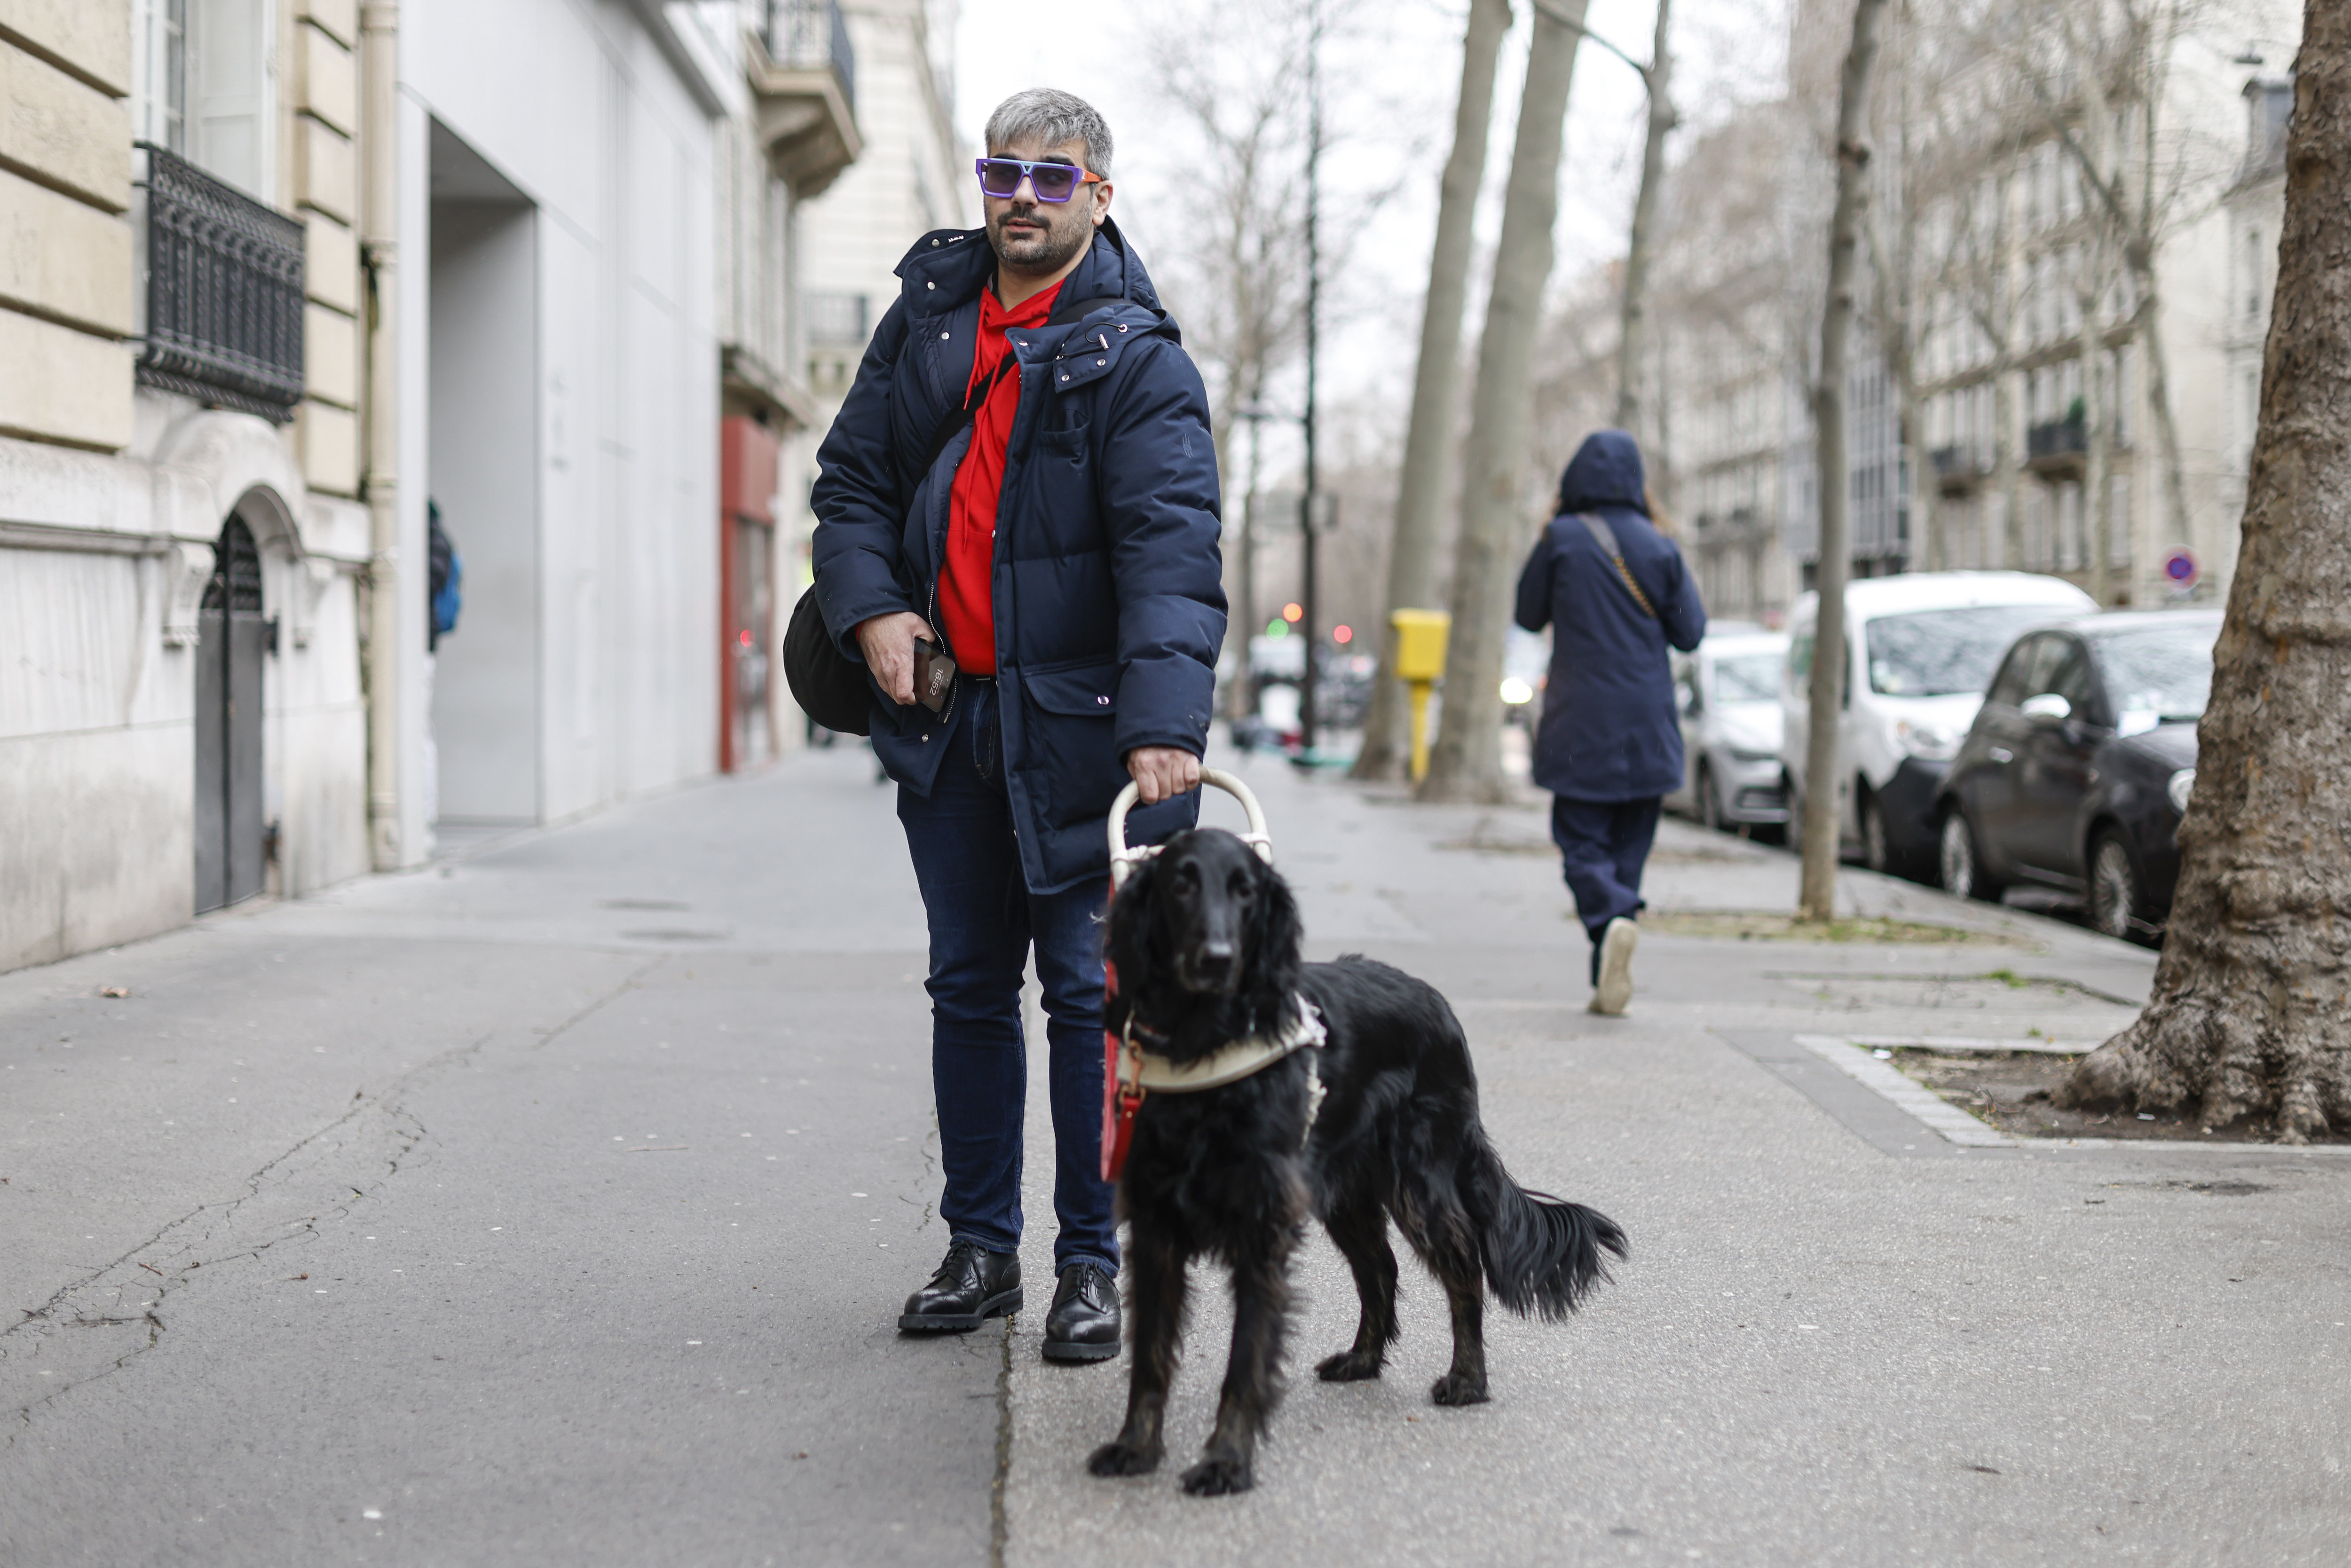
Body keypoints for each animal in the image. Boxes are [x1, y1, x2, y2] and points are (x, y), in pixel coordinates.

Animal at [1086, 823, 1627, 1495]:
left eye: (1245, 890)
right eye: (1179, 883)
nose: (1216, 957)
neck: (1204, 1044)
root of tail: (1440, 1006)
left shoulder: (1261, 1227)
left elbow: (1244, 1360)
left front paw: (1225, 1462)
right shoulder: (1157, 1226)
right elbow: (1149, 1355)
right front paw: (1135, 1446)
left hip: (1418, 1185)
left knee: (1462, 1263)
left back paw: (1468, 1379)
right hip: (1344, 1193)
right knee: (1381, 1269)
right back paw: (1363, 1359)